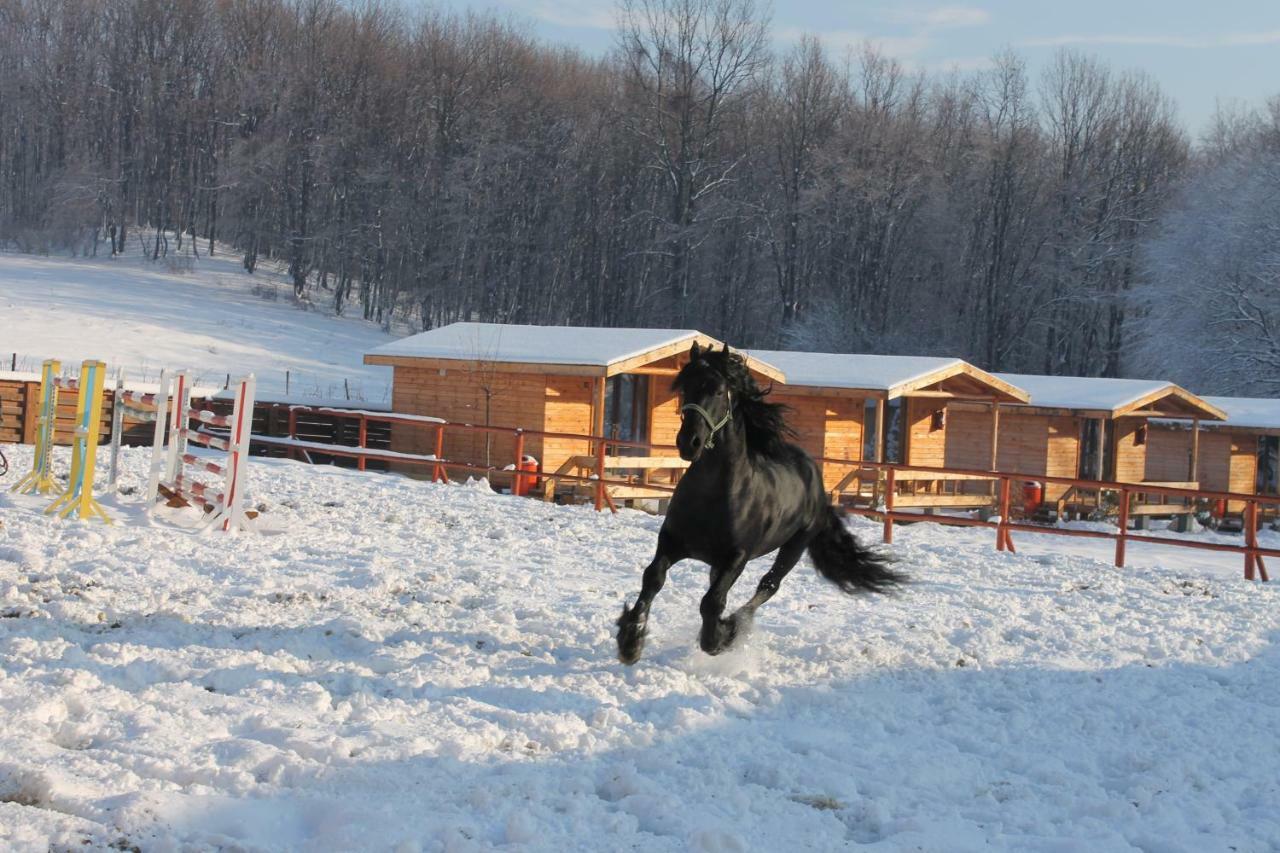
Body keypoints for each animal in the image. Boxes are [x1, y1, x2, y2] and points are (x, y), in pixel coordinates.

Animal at [616, 343, 901, 660]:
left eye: (718, 390)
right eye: (684, 387)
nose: (689, 442)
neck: (714, 495)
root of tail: (813, 476)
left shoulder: (737, 556)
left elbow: (712, 601)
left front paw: (718, 638)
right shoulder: (672, 541)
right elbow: (653, 577)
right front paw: (630, 642)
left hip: (794, 546)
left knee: (768, 585)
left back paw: (733, 626)